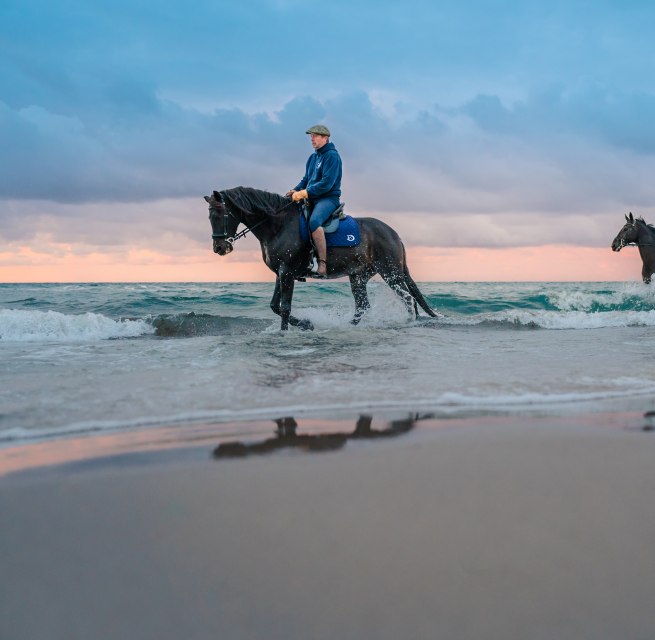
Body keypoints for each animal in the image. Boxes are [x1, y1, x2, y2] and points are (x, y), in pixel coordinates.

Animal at [205, 187, 440, 330]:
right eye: (209, 217)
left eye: (222, 215)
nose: (219, 248)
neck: (278, 225)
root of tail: (394, 234)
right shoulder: (281, 273)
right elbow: (275, 306)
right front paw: (306, 324)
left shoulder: (287, 272)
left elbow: (284, 307)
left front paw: (286, 332)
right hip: (359, 276)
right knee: (363, 305)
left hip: (391, 273)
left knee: (407, 299)